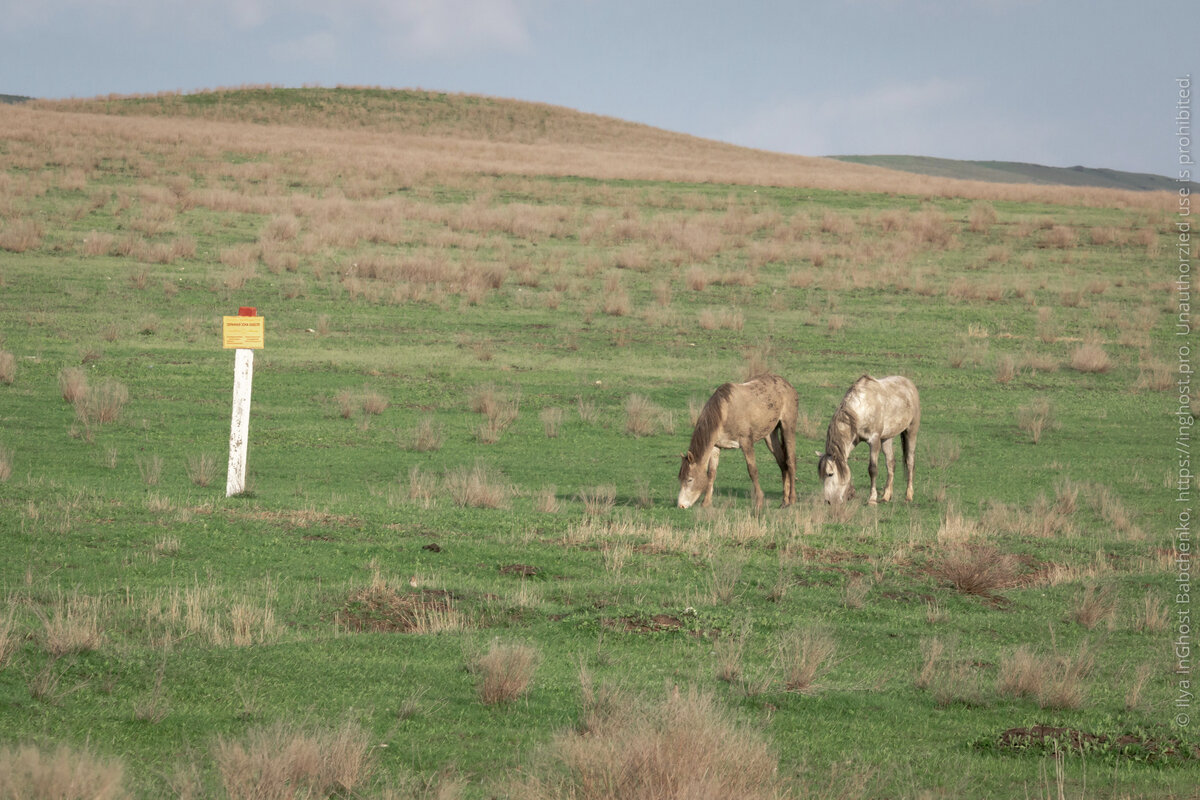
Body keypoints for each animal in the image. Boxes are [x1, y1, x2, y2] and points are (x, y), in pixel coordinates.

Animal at [676, 374, 796, 510]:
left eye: (689, 479)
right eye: (680, 478)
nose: (681, 505)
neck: (725, 412)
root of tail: (788, 385)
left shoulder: (746, 442)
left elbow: (752, 471)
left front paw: (759, 502)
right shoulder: (715, 446)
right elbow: (711, 473)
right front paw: (706, 502)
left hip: (788, 427)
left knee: (790, 462)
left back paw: (792, 499)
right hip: (770, 435)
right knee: (782, 463)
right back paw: (784, 501)